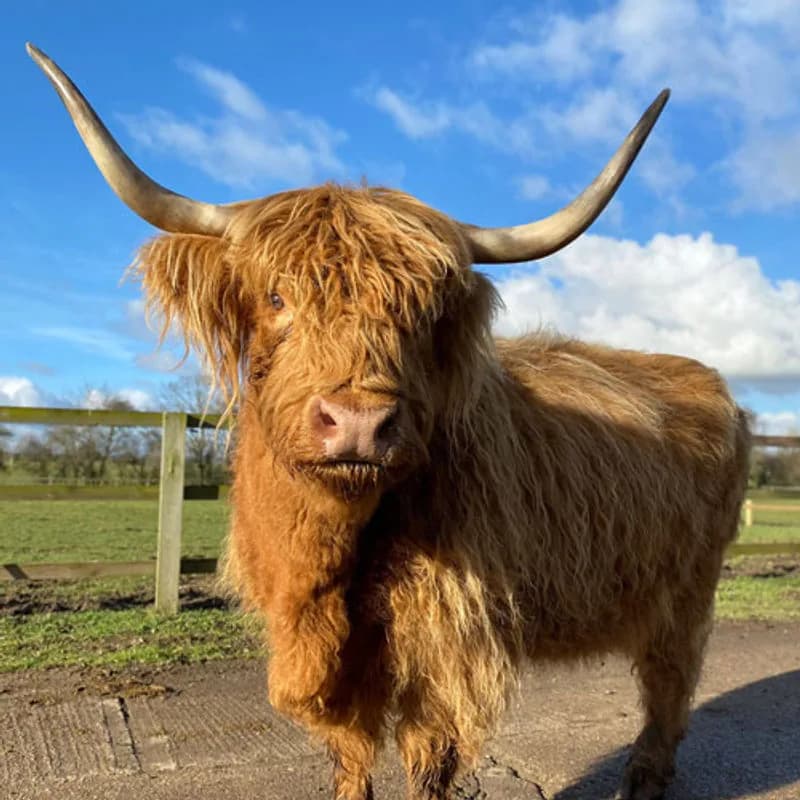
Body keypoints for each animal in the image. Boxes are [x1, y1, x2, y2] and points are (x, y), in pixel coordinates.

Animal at [29, 43, 750, 800]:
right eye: (277, 297)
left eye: (423, 312)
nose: (358, 422)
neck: (325, 563)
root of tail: (704, 378)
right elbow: (348, 752)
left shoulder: (444, 638)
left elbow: (427, 755)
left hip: (688, 588)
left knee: (670, 678)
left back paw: (643, 778)